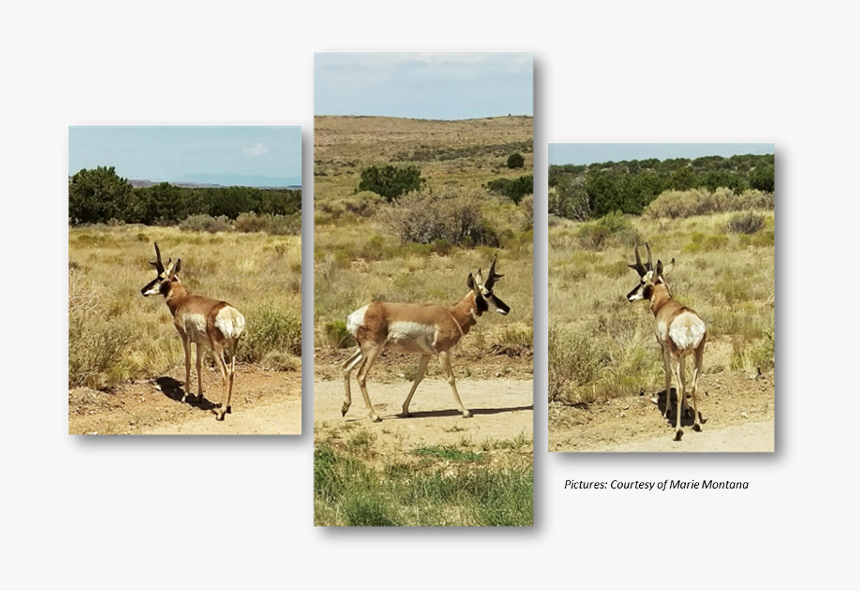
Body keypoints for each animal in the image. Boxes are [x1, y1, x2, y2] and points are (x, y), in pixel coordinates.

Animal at [140, 243, 245, 421]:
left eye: (160, 277)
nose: (143, 290)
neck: (184, 300)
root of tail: (230, 312)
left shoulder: (185, 338)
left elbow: (188, 363)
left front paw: (185, 396)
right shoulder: (199, 343)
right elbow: (198, 365)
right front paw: (200, 396)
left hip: (217, 350)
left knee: (225, 373)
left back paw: (221, 412)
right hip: (233, 348)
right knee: (232, 371)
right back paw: (229, 407)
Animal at [342, 255, 511, 422]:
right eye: (487, 293)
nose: (507, 308)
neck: (453, 315)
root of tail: (356, 315)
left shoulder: (426, 354)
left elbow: (418, 378)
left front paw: (405, 410)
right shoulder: (443, 352)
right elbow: (451, 377)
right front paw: (465, 411)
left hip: (363, 350)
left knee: (346, 366)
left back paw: (345, 408)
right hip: (374, 350)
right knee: (361, 375)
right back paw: (374, 415)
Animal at [627, 244, 706, 441]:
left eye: (642, 281)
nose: (628, 296)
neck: (666, 303)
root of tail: (687, 322)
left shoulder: (663, 350)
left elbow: (669, 375)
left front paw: (668, 411)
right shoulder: (684, 356)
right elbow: (685, 378)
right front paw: (686, 410)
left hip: (675, 355)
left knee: (678, 387)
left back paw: (677, 431)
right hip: (697, 355)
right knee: (693, 385)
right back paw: (696, 424)